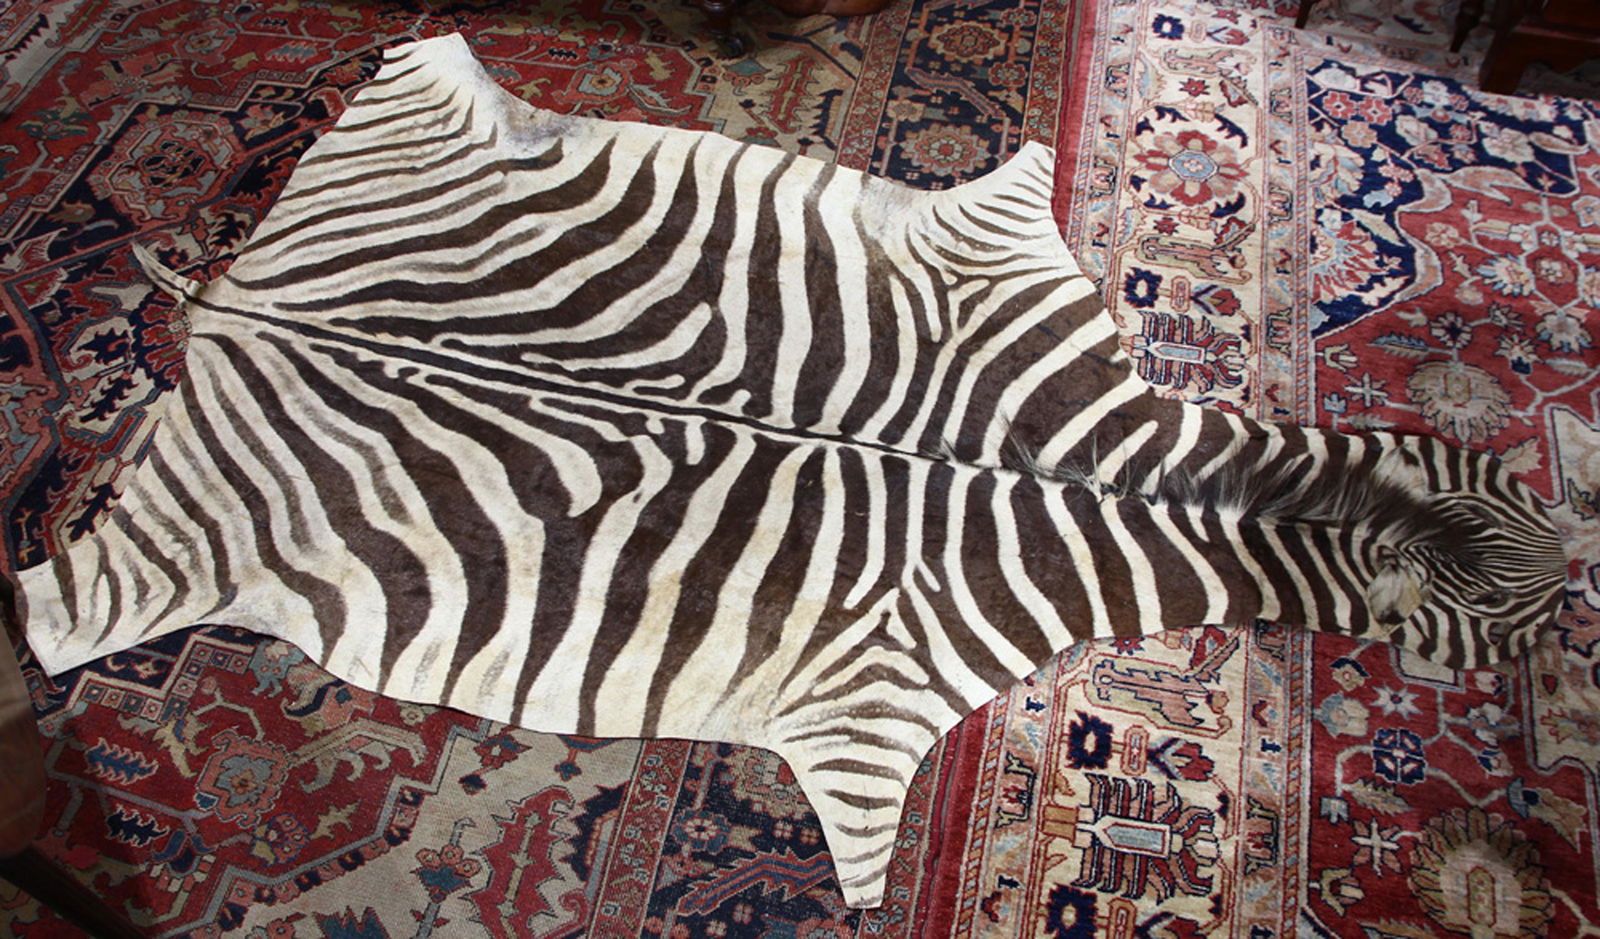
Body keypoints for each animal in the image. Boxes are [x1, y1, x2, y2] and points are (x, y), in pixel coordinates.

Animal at [11, 34, 1567, 908]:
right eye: (1512, 624)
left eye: (1516, 503)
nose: (1582, 598)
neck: (1115, 475)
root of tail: (237, 301)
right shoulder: (874, 705)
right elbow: (866, 845)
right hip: (161, 565)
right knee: (59, 609)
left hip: (410, 143)